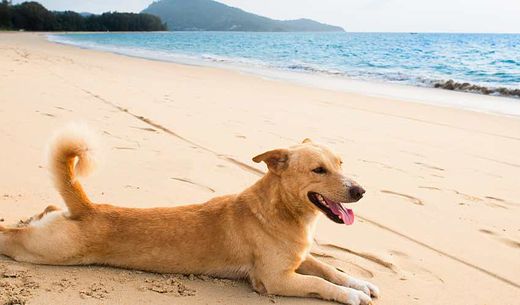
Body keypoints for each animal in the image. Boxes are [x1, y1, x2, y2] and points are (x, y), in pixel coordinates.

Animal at [2, 127, 380, 302]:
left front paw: (359, 283)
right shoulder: (275, 280)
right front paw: (351, 296)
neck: (280, 209)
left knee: (45, 211)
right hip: (44, 251)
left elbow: (331, 270)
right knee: (10, 236)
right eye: (319, 170)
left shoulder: (301, 258)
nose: (360, 191)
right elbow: (320, 282)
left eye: (340, 163)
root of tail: (87, 207)